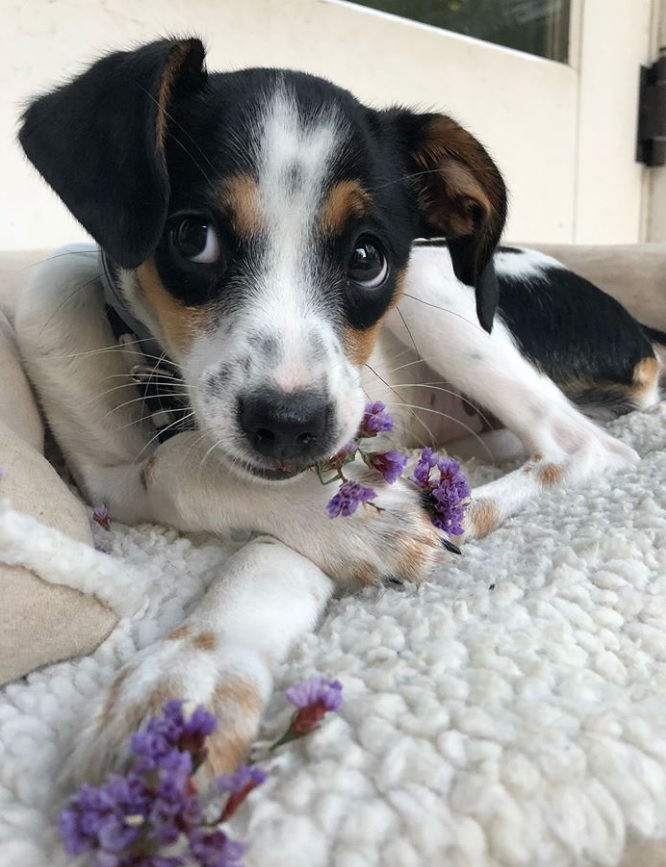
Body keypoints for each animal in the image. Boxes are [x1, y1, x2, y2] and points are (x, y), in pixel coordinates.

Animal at [16, 39, 664, 780]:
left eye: (366, 257)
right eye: (192, 237)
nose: (290, 426)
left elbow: (193, 481)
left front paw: (188, 675)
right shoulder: (106, 477)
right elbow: (180, 476)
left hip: (437, 284)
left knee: (583, 446)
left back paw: (440, 503)